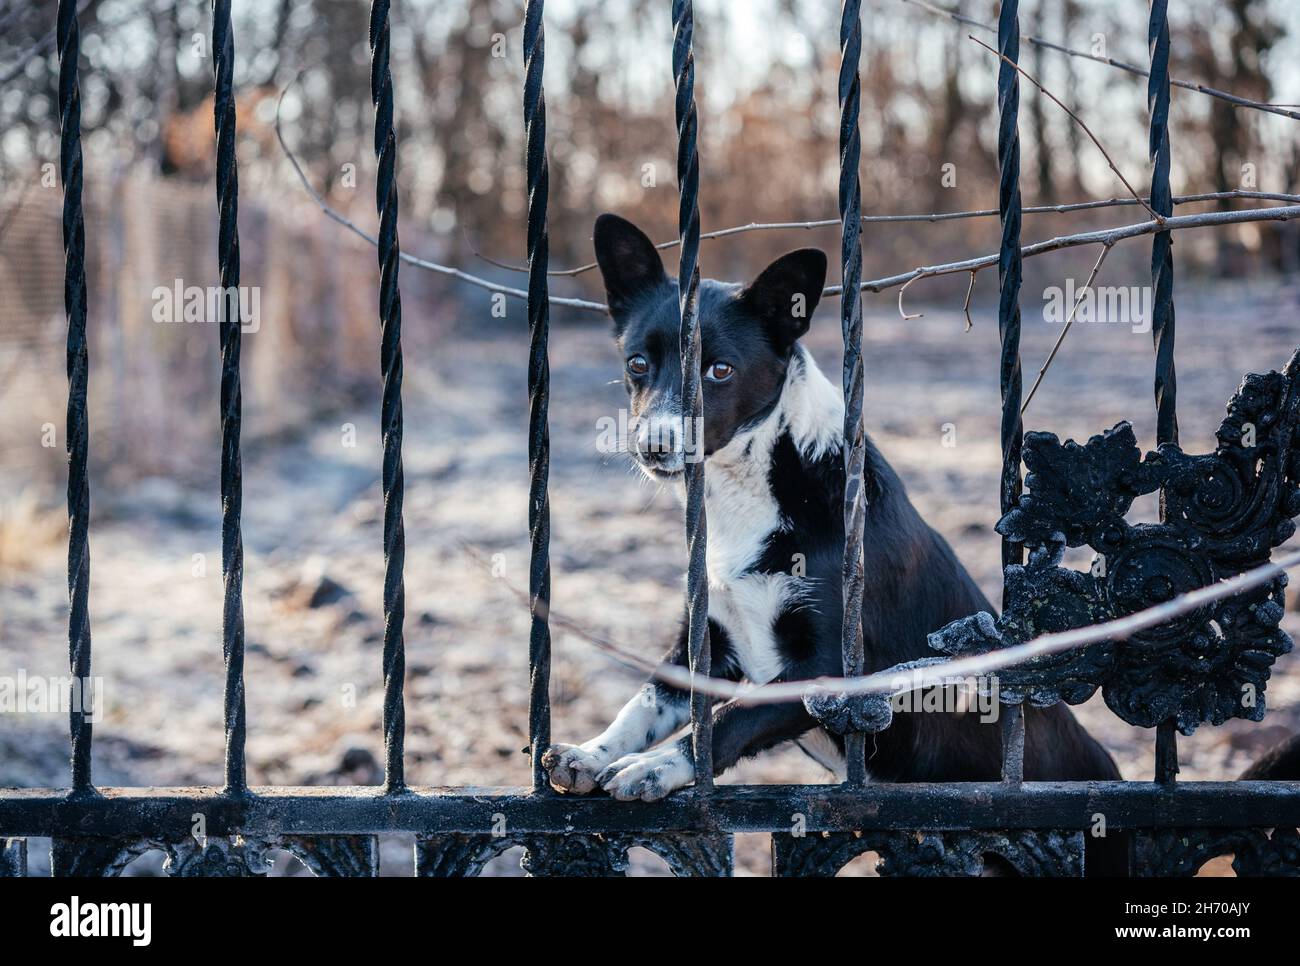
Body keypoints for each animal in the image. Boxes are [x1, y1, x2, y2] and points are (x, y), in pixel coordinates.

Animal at [543, 215, 1123, 806]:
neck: (753, 488)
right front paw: (592, 752)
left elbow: (728, 718)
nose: (653, 446)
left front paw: (655, 764)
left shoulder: (831, 667)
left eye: (720, 371)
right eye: (637, 363)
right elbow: (645, 703)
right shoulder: (703, 644)